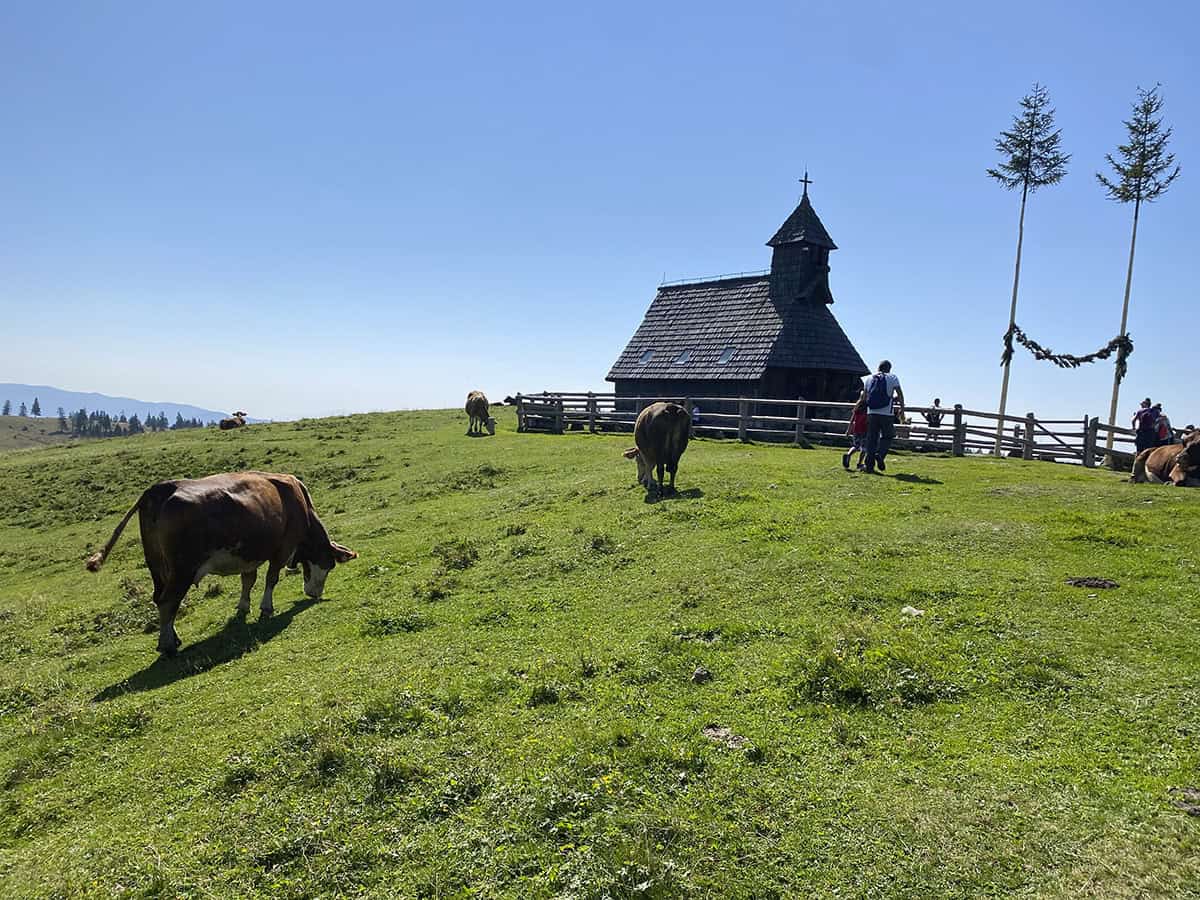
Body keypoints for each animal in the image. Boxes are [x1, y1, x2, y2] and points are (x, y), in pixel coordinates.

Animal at [85, 472, 355, 657]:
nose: (315, 594)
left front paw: (243, 606)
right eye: (329, 565)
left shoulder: (249, 555)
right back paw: (167, 644)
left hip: (158, 568)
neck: (299, 503)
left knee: (159, 599)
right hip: (183, 569)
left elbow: (248, 580)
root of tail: (159, 489)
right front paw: (266, 608)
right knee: (168, 601)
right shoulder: (282, 548)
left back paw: (173, 637)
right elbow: (271, 579)